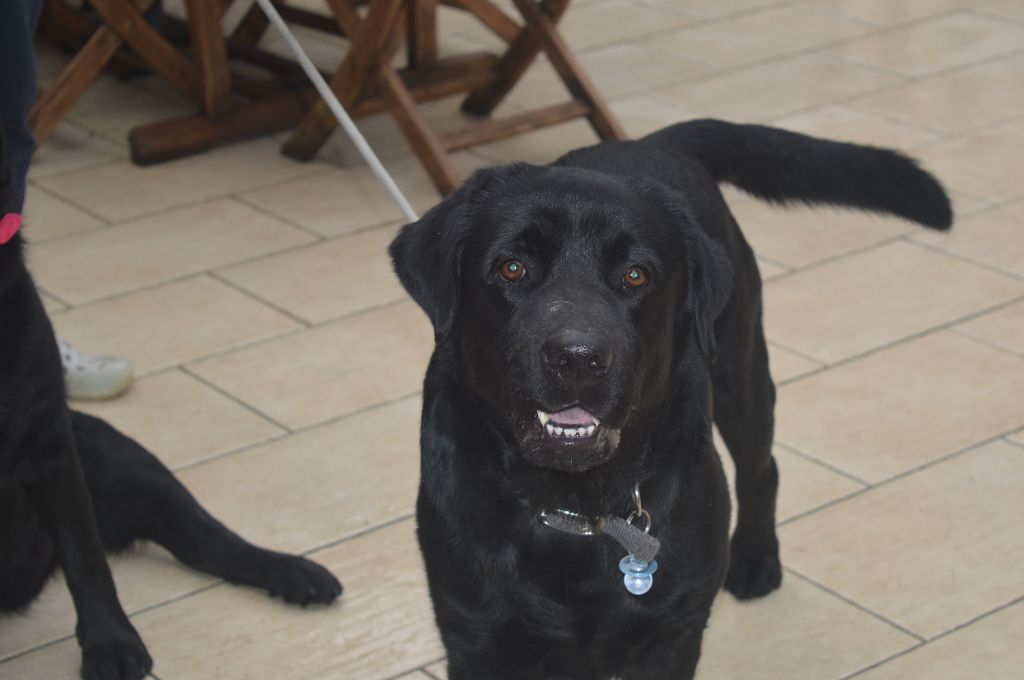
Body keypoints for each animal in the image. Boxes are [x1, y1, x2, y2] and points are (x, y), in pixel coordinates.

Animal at [0, 134, 344, 680]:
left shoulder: (51, 449)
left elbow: (87, 562)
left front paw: (112, 645)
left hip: (128, 469)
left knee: (212, 542)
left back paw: (295, 572)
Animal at [391, 119, 950, 675]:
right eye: (512, 268)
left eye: (635, 275)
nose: (578, 357)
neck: (574, 505)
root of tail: (655, 140)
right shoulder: (477, 637)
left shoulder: (672, 631)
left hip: (741, 373)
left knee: (762, 467)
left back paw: (756, 559)